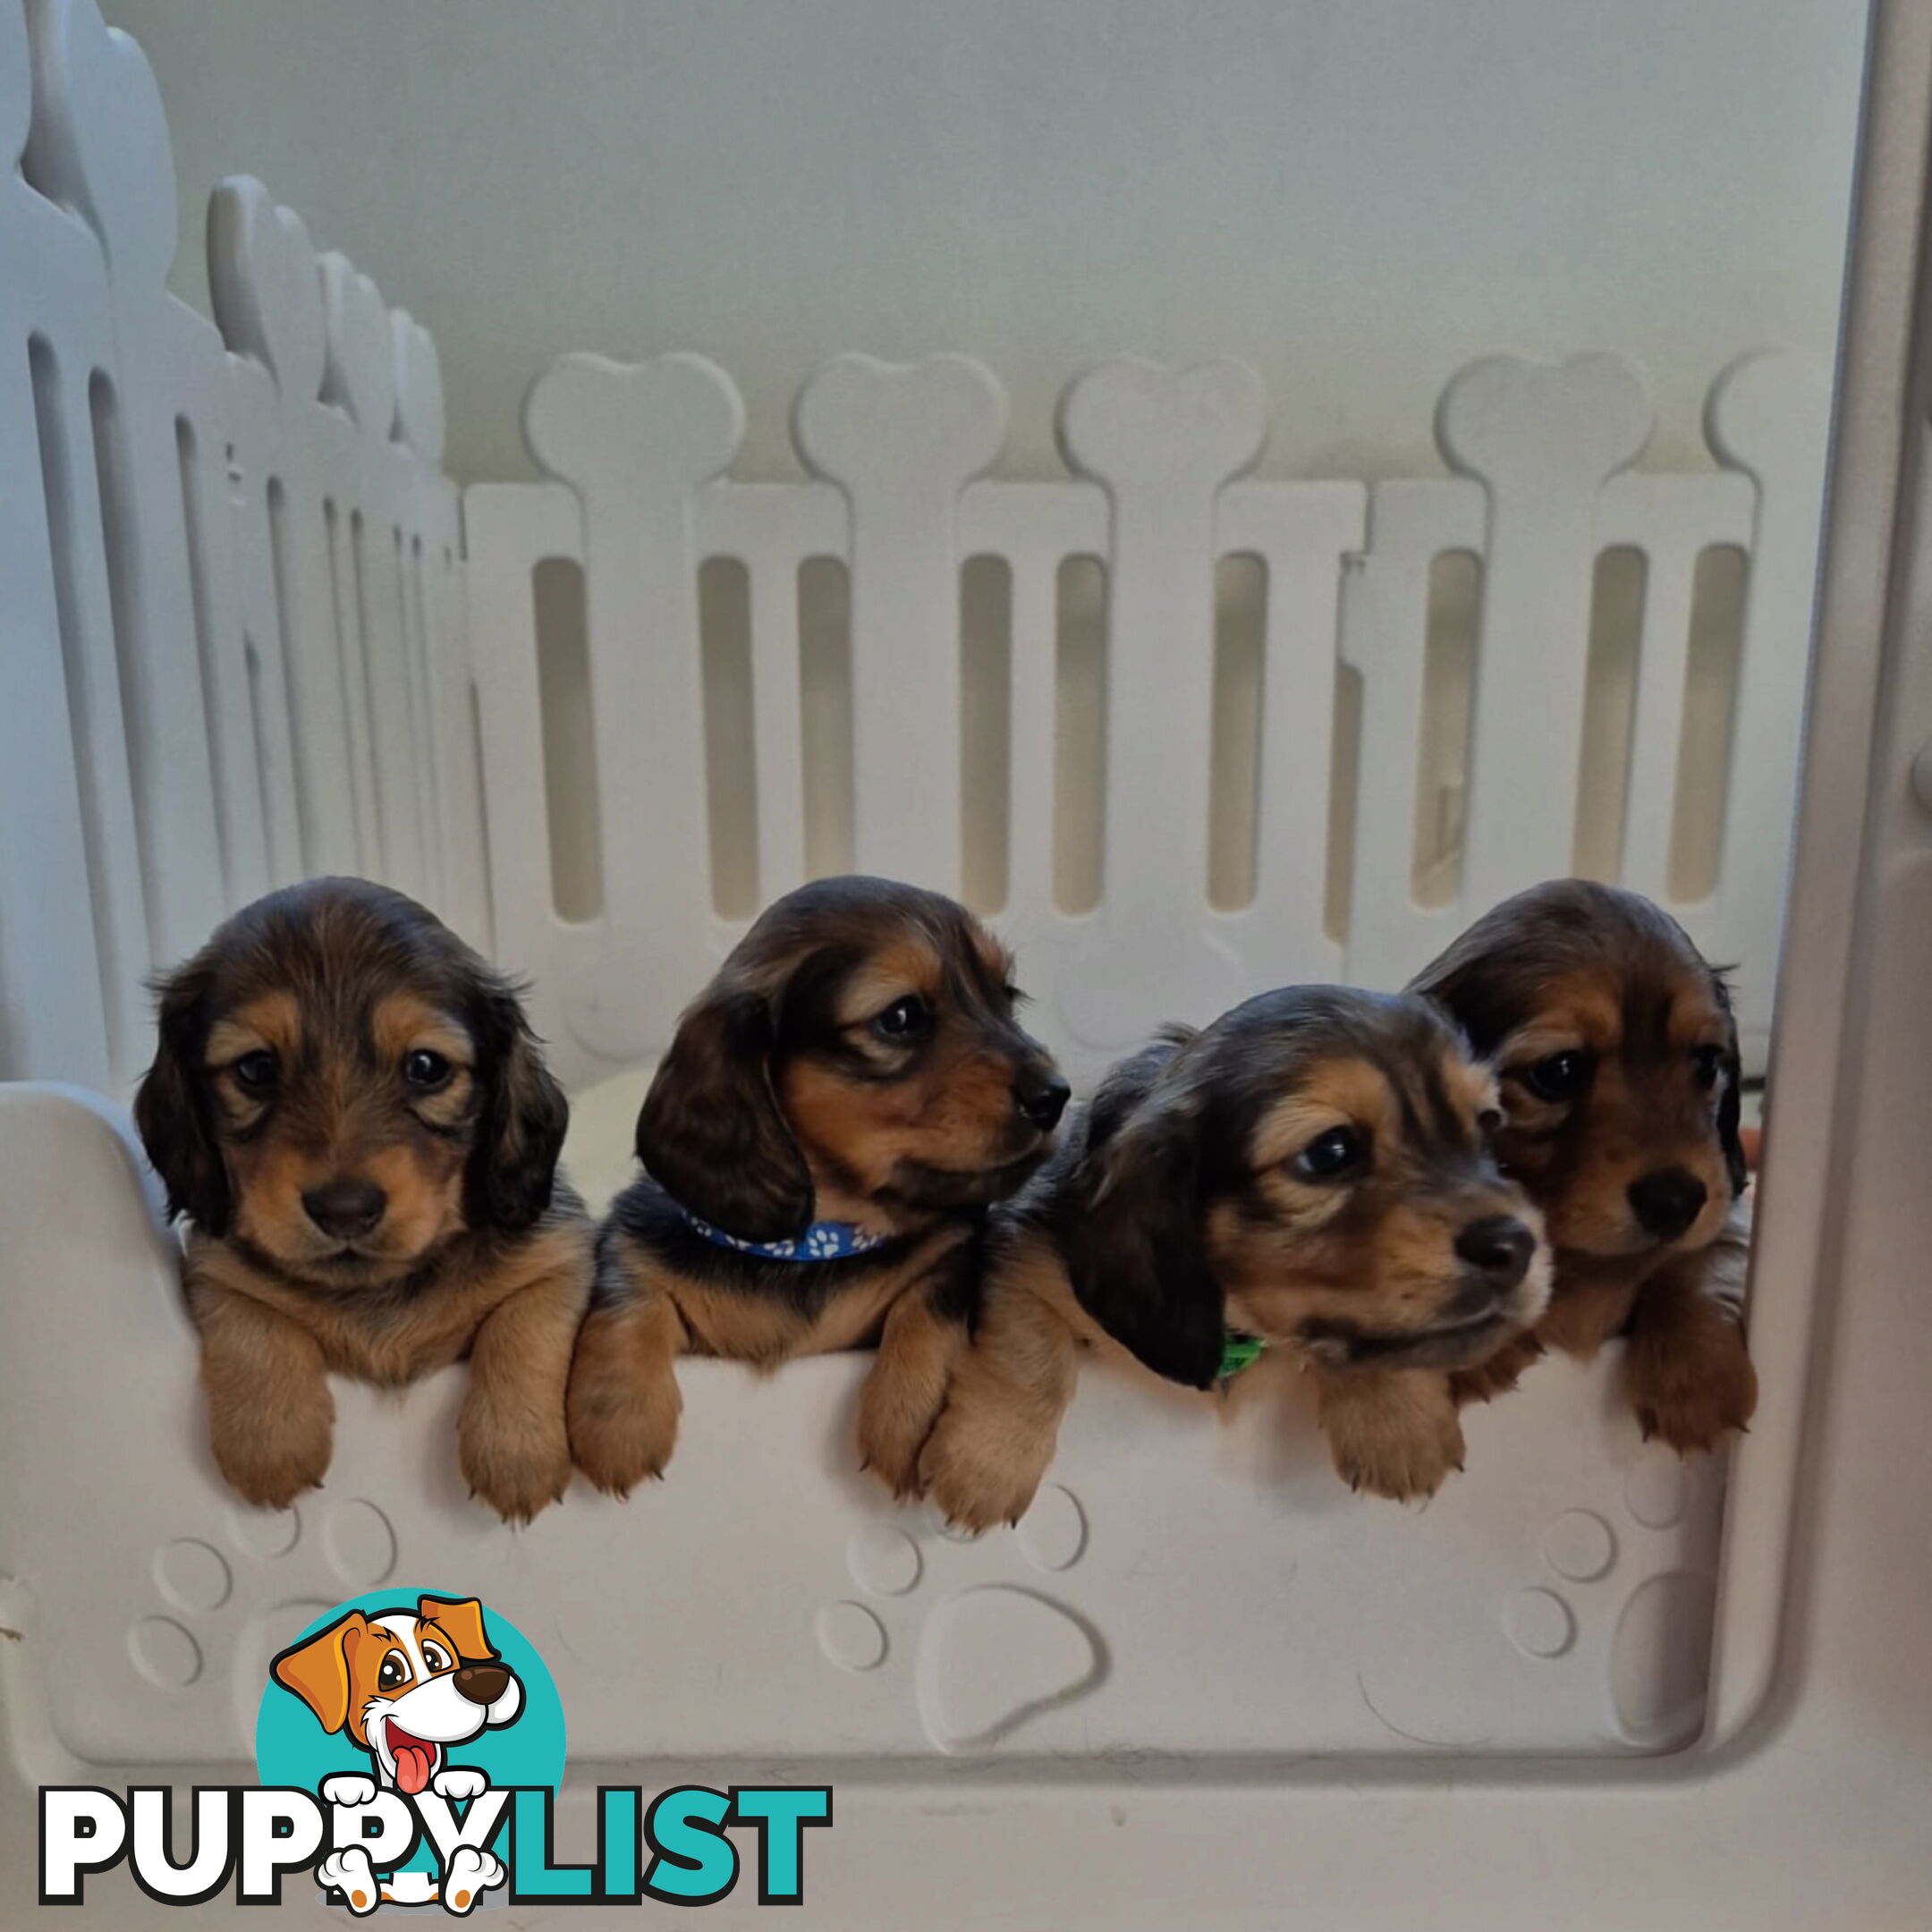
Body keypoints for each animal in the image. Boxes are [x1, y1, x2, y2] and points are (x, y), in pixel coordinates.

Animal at [134, 877, 587, 1522]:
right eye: (255, 1068)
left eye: (426, 1067)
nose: (343, 1210)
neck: (374, 1287)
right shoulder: (213, 1265)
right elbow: (250, 1318)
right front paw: (271, 1442)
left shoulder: (562, 1251)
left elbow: (527, 1321)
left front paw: (515, 1450)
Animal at [560, 877, 1073, 1491]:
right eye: (902, 1016)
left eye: (1007, 995)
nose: (1055, 1095)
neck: (814, 1243)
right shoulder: (634, 1241)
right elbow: (627, 1296)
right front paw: (618, 1419)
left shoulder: (951, 1253)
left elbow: (930, 1303)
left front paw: (915, 1412)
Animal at [911, 988, 1546, 1530]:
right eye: (1330, 1151)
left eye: (1486, 1127)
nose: (1515, 1245)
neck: (1237, 1316)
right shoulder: (1030, 1245)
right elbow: (1027, 1353)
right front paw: (985, 1461)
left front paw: (1398, 1424)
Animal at [1414, 880, 1761, 1453]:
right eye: (1559, 1071)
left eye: (1708, 1061)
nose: (1676, 1200)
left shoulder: (1727, 1218)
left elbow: (1701, 1259)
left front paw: (1696, 1377)